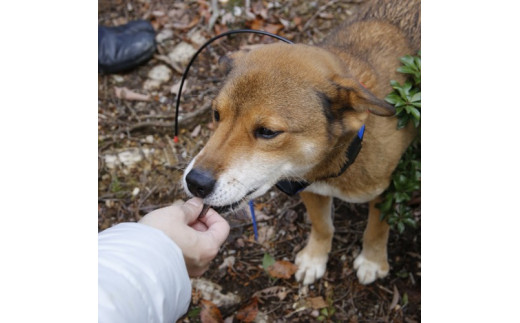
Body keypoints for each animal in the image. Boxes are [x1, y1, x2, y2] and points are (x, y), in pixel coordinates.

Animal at [182, 0, 418, 284]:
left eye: (268, 131)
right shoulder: (308, 188)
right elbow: (322, 225)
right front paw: (315, 257)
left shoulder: (390, 190)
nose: (195, 182)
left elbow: (377, 226)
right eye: (216, 114)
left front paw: (372, 259)